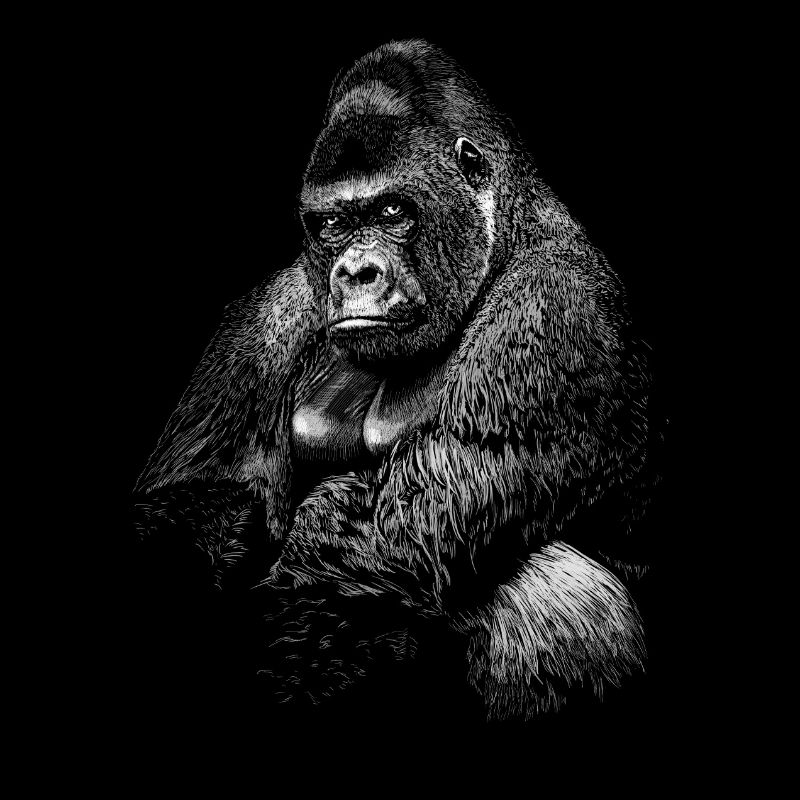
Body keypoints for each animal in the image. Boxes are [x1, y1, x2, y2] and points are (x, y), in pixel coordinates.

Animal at [133, 39, 661, 720]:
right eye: (332, 225)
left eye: (391, 210)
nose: (356, 271)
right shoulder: (267, 317)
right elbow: (195, 498)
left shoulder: (558, 310)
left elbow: (373, 543)